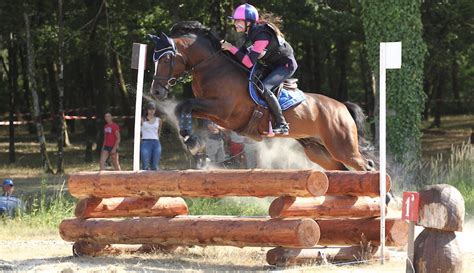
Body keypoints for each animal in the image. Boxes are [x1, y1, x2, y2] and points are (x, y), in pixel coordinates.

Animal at [150, 21, 376, 170]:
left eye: (166, 59)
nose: (156, 92)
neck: (212, 67)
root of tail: (341, 106)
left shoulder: (223, 111)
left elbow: (186, 104)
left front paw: (192, 140)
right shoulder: (211, 111)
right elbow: (182, 107)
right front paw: (190, 139)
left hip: (342, 146)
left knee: (366, 165)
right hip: (319, 151)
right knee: (343, 170)